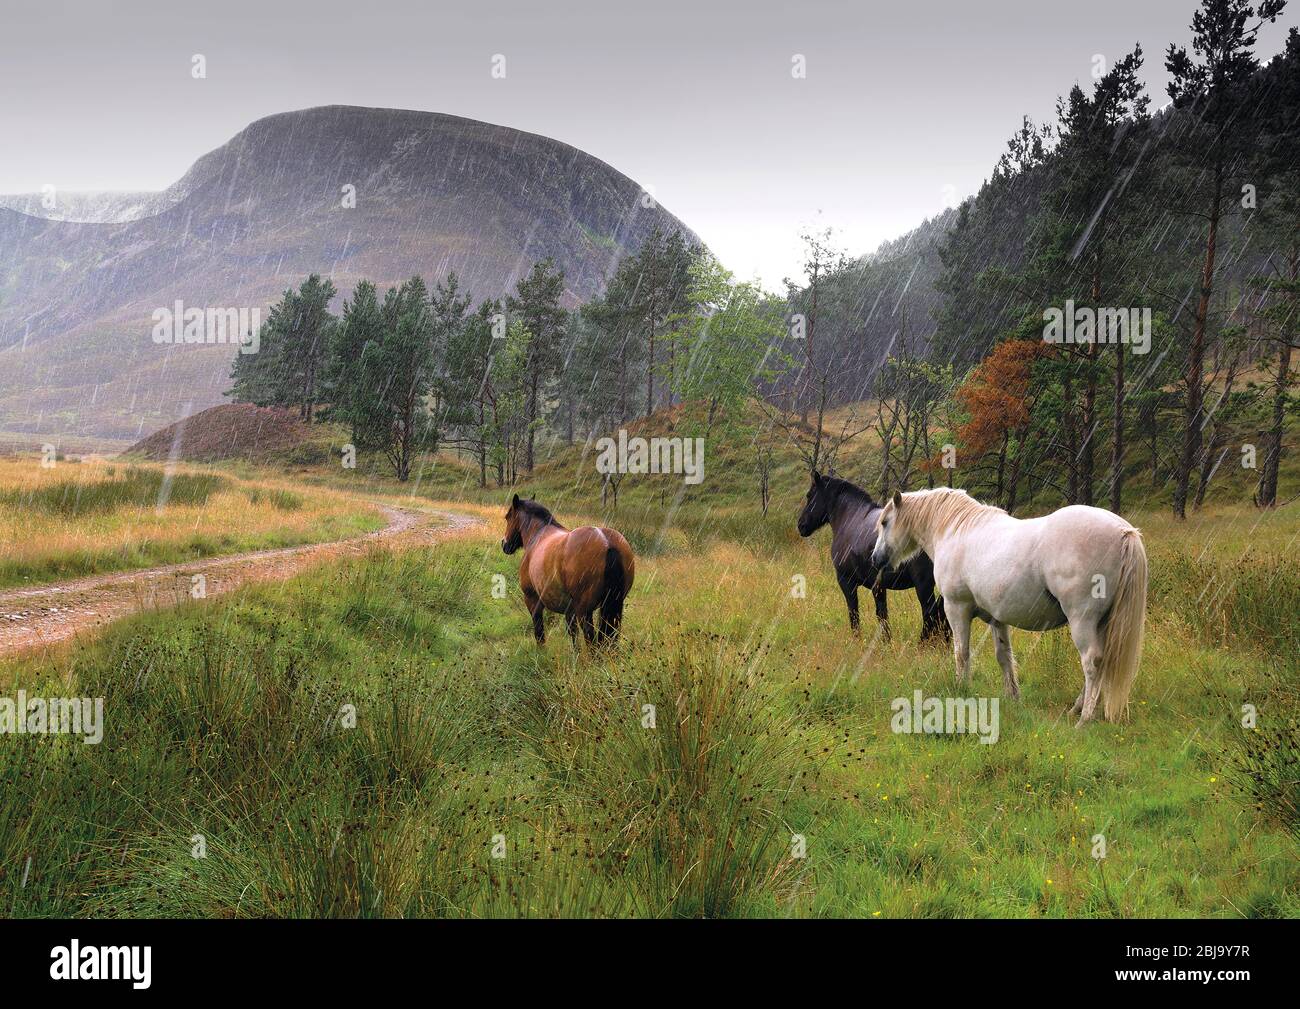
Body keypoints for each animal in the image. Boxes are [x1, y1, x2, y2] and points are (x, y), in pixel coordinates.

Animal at [501, 494, 634, 647]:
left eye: (508, 517)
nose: (504, 544)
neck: (538, 535)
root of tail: (607, 542)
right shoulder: (569, 610)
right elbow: (573, 634)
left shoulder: (532, 600)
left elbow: (539, 633)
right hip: (614, 608)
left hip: (585, 611)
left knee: (591, 639)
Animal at [790, 470, 946, 639]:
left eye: (809, 495)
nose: (801, 525)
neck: (850, 518)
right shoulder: (878, 586)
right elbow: (882, 614)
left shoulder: (846, 581)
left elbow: (855, 613)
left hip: (923, 584)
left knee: (930, 613)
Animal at [873, 488, 1149, 722]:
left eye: (885, 522)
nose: (876, 559)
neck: (956, 531)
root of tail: (1124, 531)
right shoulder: (997, 619)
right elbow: (1004, 657)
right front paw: (1012, 698)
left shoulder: (956, 608)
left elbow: (961, 653)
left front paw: (961, 689)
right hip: (1102, 623)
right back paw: (1077, 709)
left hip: (1083, 620)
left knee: (1092, 662)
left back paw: (1085, 718)